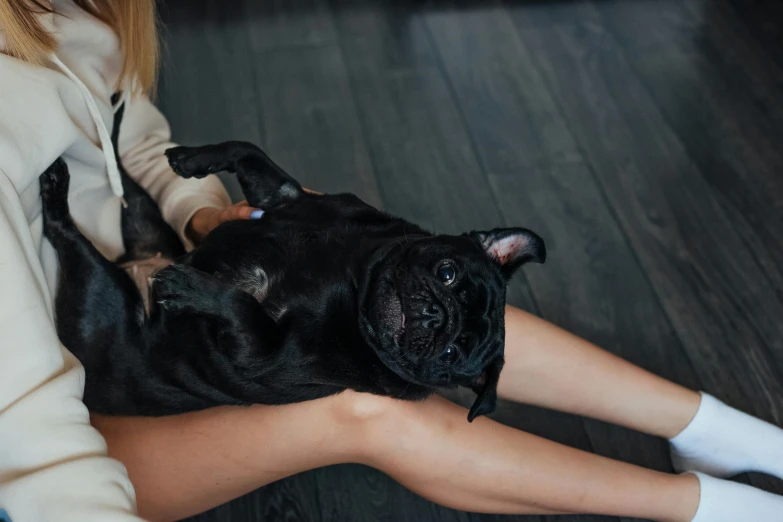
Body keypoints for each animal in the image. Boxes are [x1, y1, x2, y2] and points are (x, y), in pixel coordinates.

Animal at [41, 101, 544, 418]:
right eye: (447, 272)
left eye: (450, 354)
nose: (434, 315)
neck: (356, 277)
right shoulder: (282, 198)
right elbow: (248, 150)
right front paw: (192, 157)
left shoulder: (260, 350)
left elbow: (242, 306)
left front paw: (192, 289)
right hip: (143, 214)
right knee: (123, 179)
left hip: (99, 293)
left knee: (65, 235)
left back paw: (56, 193)